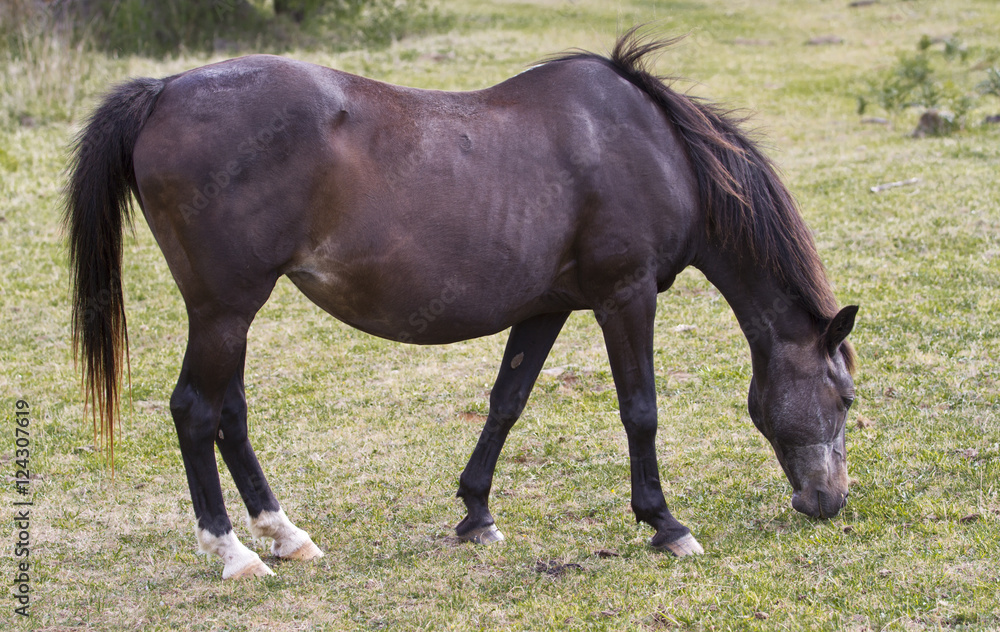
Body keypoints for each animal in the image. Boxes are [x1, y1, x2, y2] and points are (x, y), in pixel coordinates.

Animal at [66, 29, 858, 580]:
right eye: (846, 397)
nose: (828, 503)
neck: (654, 148)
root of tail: (165, 90)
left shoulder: (547, 308)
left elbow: (507, 401)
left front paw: (476, 512)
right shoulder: (624, 298)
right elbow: (641, 410)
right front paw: (665, 523)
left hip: (229, 316)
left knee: (228, 412)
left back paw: (287, 536)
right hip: (225, 309)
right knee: (196, 411)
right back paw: (235, 553)